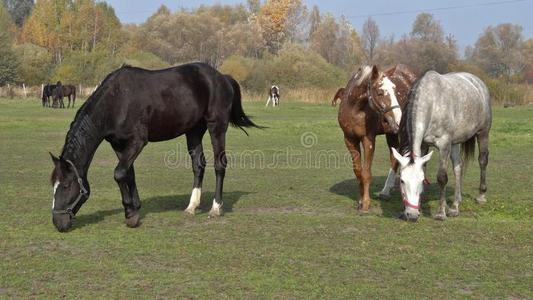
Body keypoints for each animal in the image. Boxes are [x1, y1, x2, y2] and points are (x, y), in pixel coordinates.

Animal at [48, 62, 260, 232]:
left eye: (66, 185)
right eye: (53, 185)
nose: (58, 222)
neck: (117, 101)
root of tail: (222, 77)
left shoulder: (137, 141)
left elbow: (119, 173)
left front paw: (130, 214)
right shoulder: (119, 144)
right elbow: (127, 174)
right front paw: (134, 209)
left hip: (217, 127)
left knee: (219, 164)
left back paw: (215, 208)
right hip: (193, 131)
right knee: (198, 166)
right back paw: (192, 206)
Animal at [334, 64, 418, 212]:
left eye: (395, 90)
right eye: (380, 92)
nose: (399, 120)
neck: (355, 109)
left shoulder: (368, 140)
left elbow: (366, 173)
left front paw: (366, 203)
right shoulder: (350, 140)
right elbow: (358, 172)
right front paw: (360, 200)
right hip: (391, 133)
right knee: (395, 158)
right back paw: (386, 191)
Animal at [390, 70, 490, 220]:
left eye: (420, 181)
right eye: (402, 180)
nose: (411, 215)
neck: (431, 103)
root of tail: (478, 82)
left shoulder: (444, 145)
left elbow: (442, 177)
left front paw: (440, 212)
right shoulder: (424, 145)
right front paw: (418, 207)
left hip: (483, 133)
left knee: (482, 161)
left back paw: (481, 196)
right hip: (454, 143)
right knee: (458, 167)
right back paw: (455, 206)